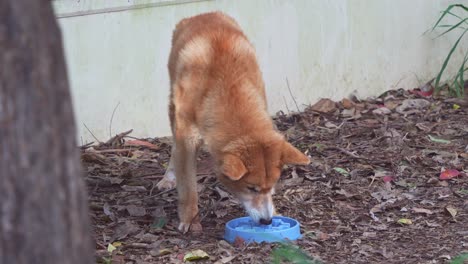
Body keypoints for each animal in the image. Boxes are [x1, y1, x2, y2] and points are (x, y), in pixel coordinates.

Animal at [157, 11, 310, 233]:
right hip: (172, 106)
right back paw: (169, 176)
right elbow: (188, 188)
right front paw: (190, 219)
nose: (267, 222)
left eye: (272, 185)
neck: (226, 86)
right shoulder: (186, 139)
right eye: (251, 188)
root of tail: (203, 14)